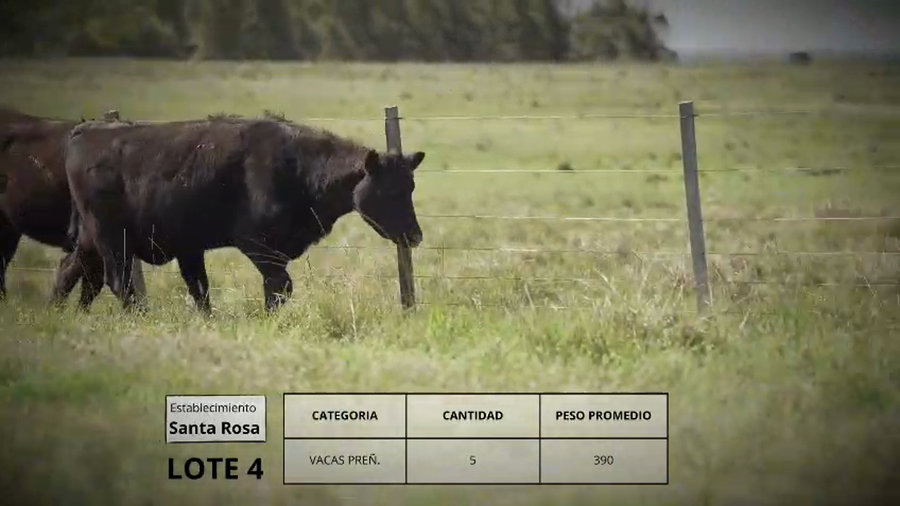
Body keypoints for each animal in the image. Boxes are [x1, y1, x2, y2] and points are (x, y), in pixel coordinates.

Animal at [53, 115, 425, 314]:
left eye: (411, 186)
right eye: (390, 191)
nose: (415, 235)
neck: (297, 166)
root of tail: (86, 130)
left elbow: (267, 288)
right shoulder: (256, 243)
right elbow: (280, 286)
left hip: (91, 241)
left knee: (73, 271)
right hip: (112, 239)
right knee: (118, 282)